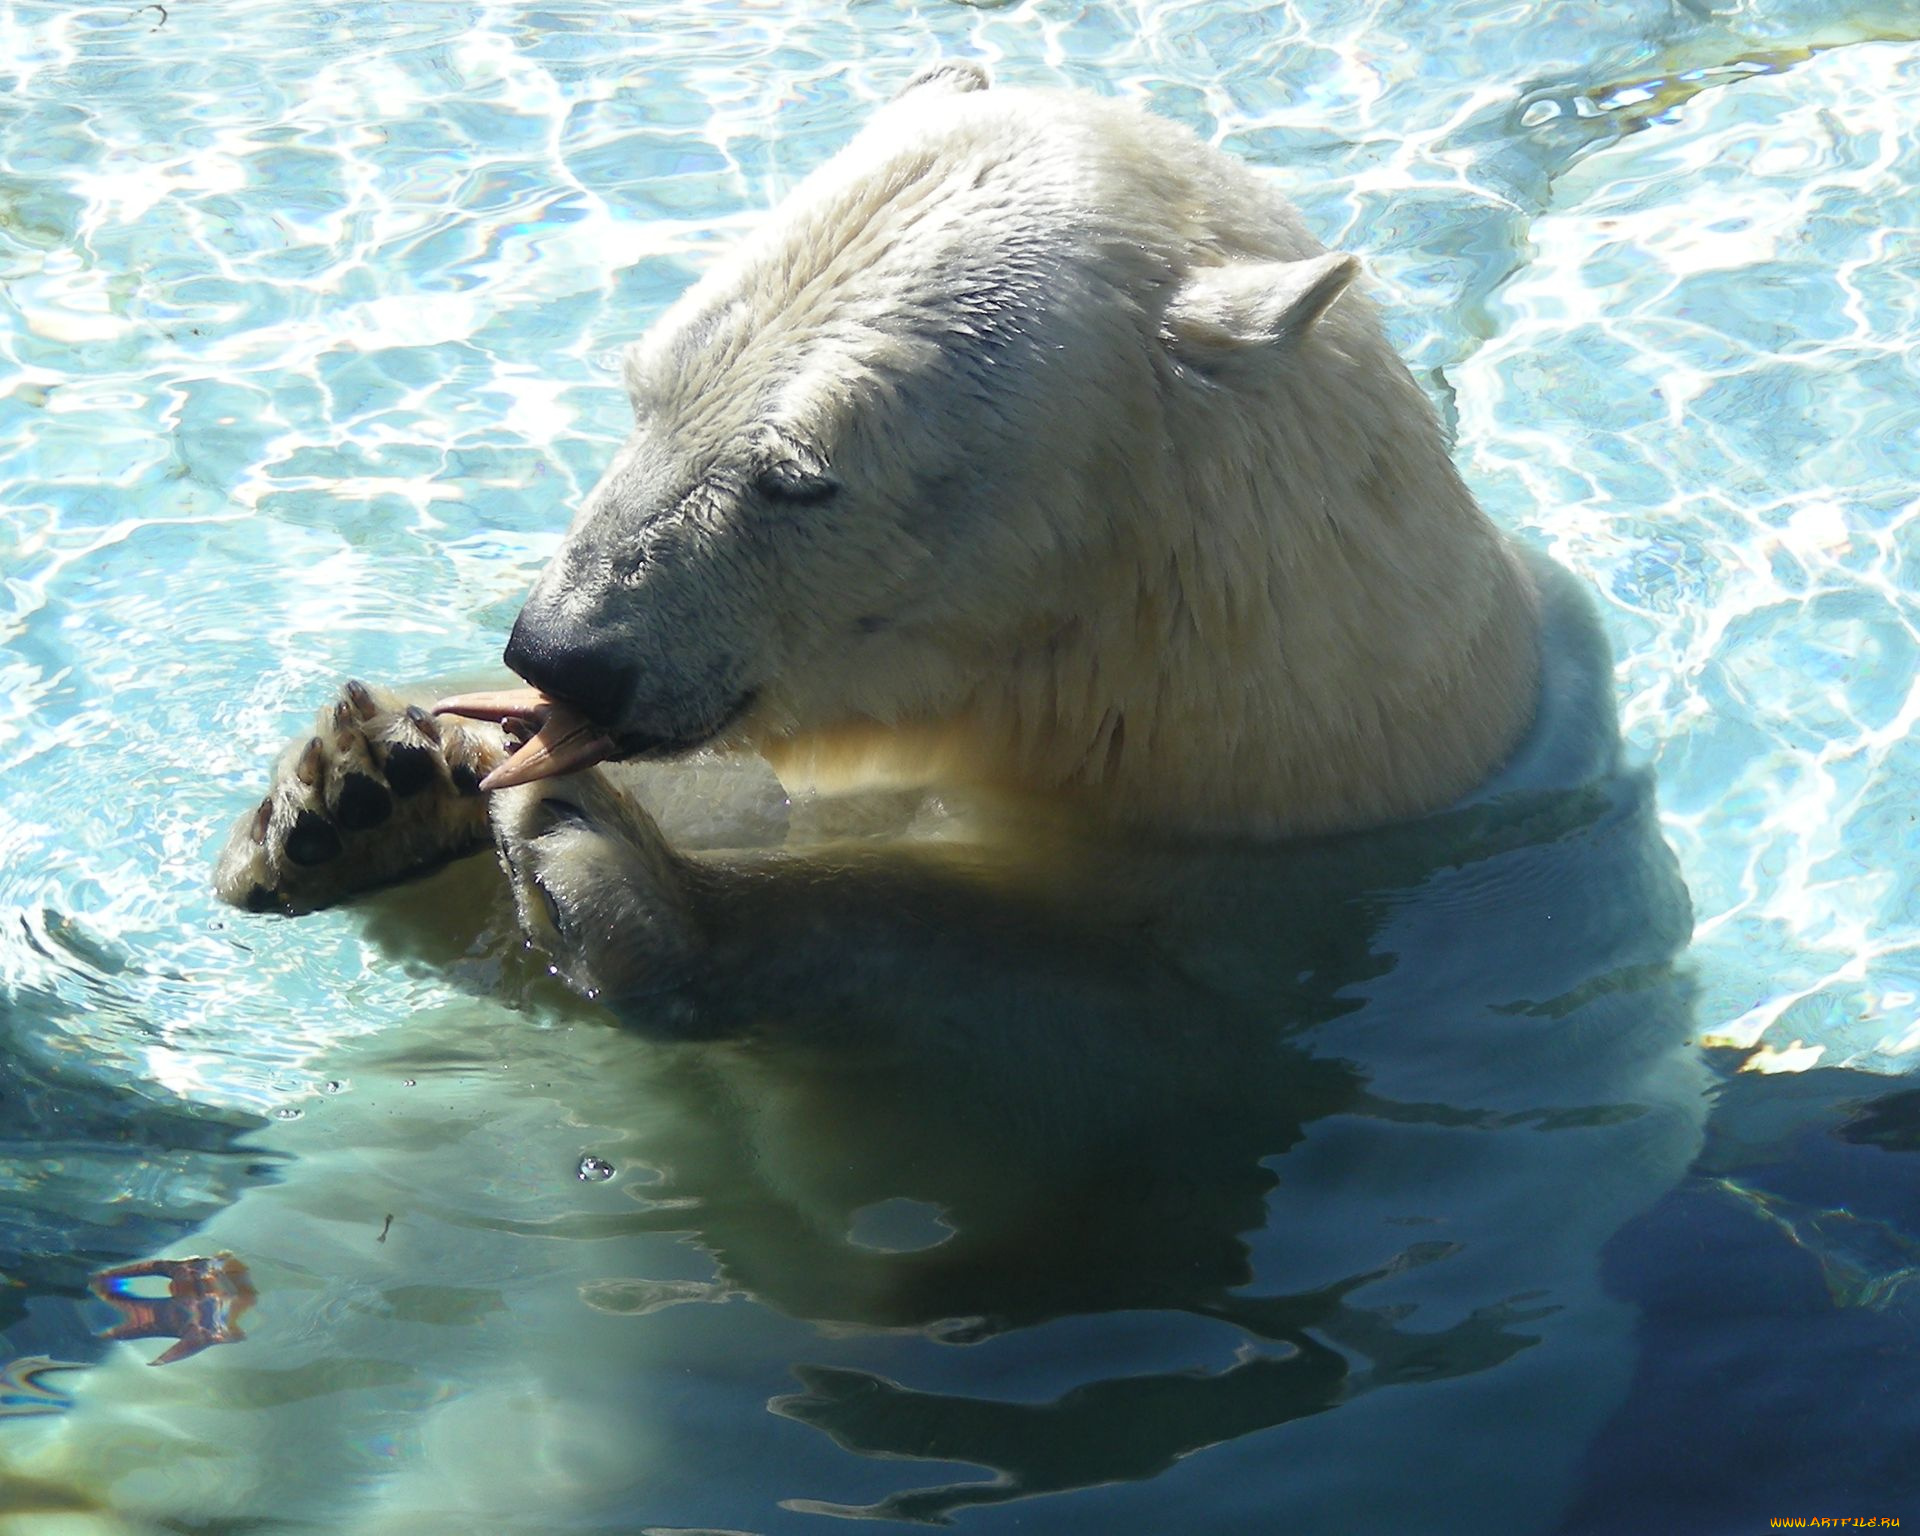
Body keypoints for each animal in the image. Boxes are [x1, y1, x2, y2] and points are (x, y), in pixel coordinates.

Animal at [3, 66, 1701, 1536]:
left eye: (800, 474)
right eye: (645, 382)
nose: (561, 648)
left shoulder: (1317, 930)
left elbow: (985, 1090)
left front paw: (620, 877)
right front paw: (364, 784)